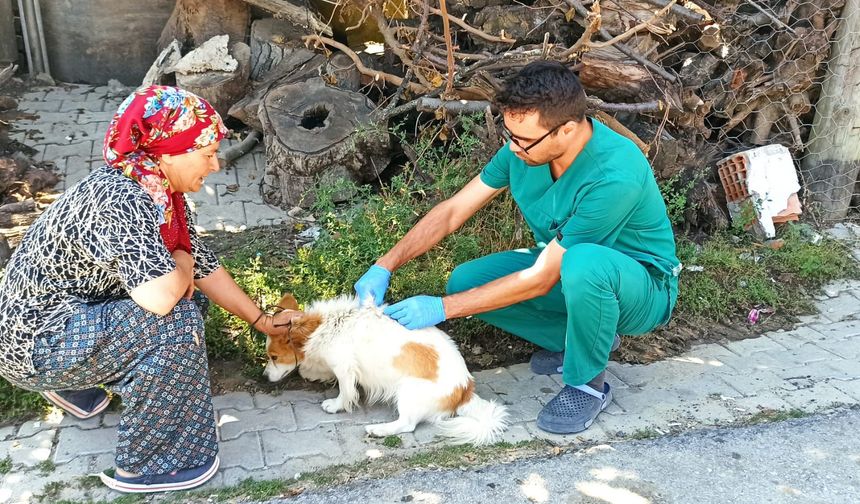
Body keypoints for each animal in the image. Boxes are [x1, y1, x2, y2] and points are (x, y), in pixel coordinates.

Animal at [266, 296, 508, 444]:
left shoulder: (344, 368)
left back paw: (379, 429)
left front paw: (335, 405)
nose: (264, 377)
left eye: (273, 356)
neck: (324, 326)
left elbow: (345, 392)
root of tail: (465, 389)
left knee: (407, 424)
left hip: (407, 390)